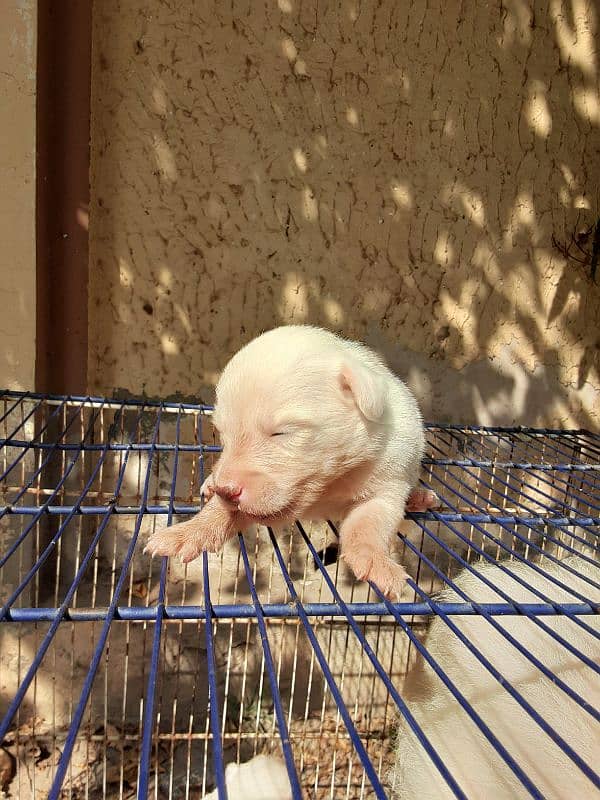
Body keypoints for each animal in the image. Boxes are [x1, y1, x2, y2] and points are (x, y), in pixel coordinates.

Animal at [144, 324, 432, 592]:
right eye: (222, 434)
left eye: (280, 432)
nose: (226, 489)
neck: (329, 486)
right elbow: (219, 512)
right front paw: (187, 532)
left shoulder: (387, 482)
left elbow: (368, 525)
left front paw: (376, 562)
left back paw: (421, 497)